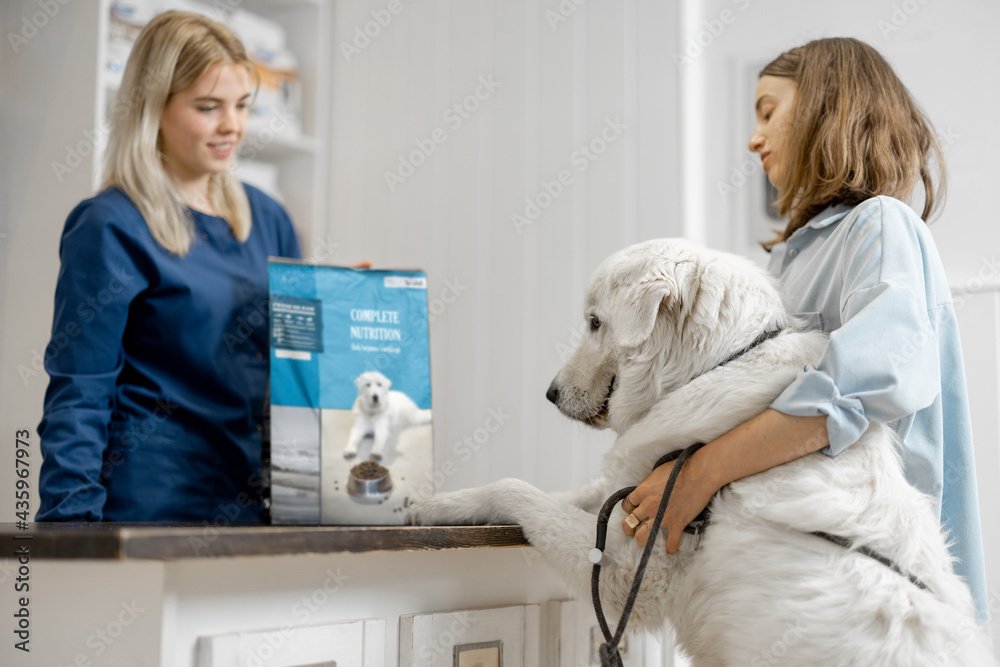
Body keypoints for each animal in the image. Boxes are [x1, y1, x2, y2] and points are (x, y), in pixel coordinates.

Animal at [410, 240, 996, 667]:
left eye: (595, 322)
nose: (550, 394)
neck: (713, 366)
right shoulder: (626, 492)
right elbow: (545, 491)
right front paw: (429, 505)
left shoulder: (629, 569)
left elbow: (518, 490)